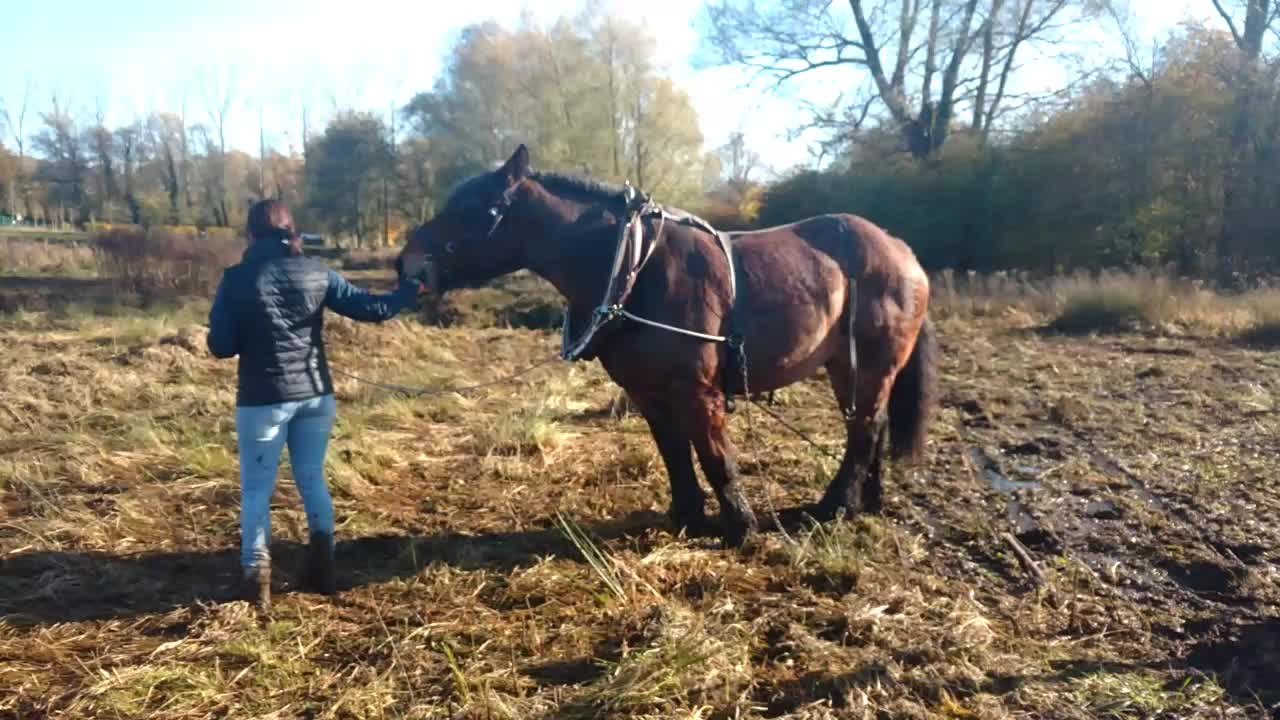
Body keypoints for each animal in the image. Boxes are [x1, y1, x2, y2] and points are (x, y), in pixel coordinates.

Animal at [396, 145, 938, 548]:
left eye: (477, 210)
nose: (408, 264)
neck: (637, 267)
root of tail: (902, 250)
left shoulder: (698, 392)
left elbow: (717, 457)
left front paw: (741, 528)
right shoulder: (648, 393)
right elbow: (674, 452)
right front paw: (687, 516)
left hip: (871, 362)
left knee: (864, 428)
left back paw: (834, 506)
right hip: (846, 365)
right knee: (871, 425)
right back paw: (867, 501)